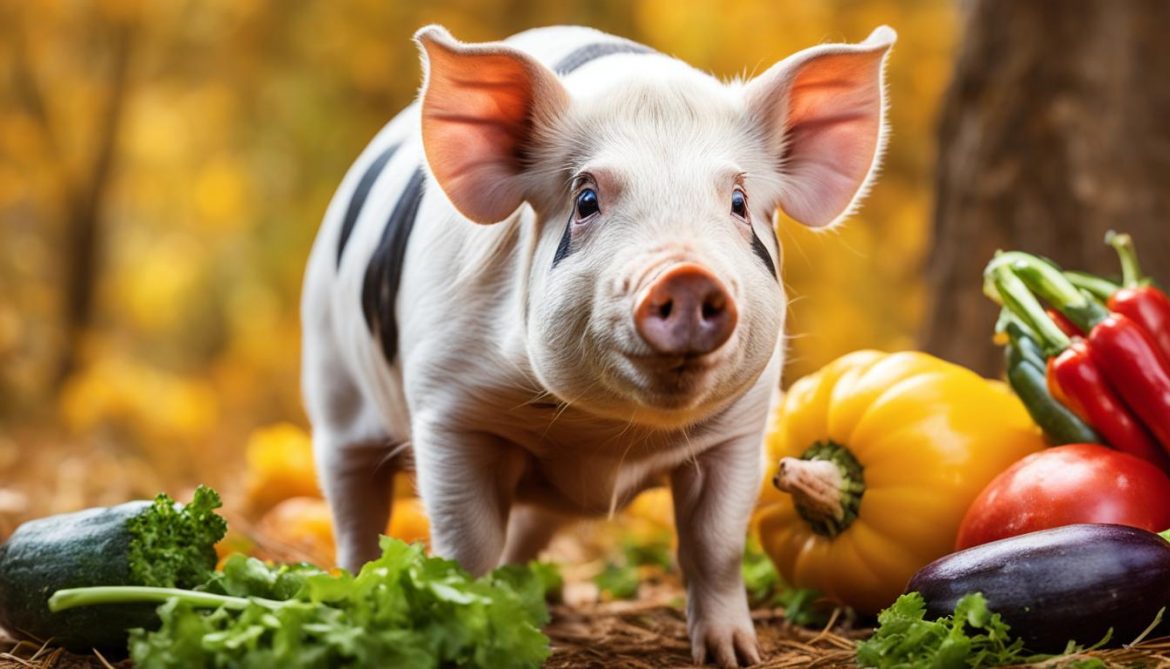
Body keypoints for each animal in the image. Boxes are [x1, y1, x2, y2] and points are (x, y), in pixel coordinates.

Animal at [301, 24, 895, 667]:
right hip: (332, 384)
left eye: (738, 201)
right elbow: (466, 544)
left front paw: (736, 655)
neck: (604, 438)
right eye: (586, 199)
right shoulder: (448, 410)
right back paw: (354, 587)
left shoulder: (740, 429)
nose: (686, 275)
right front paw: (473, 626)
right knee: (353, 501)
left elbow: (714, 543)